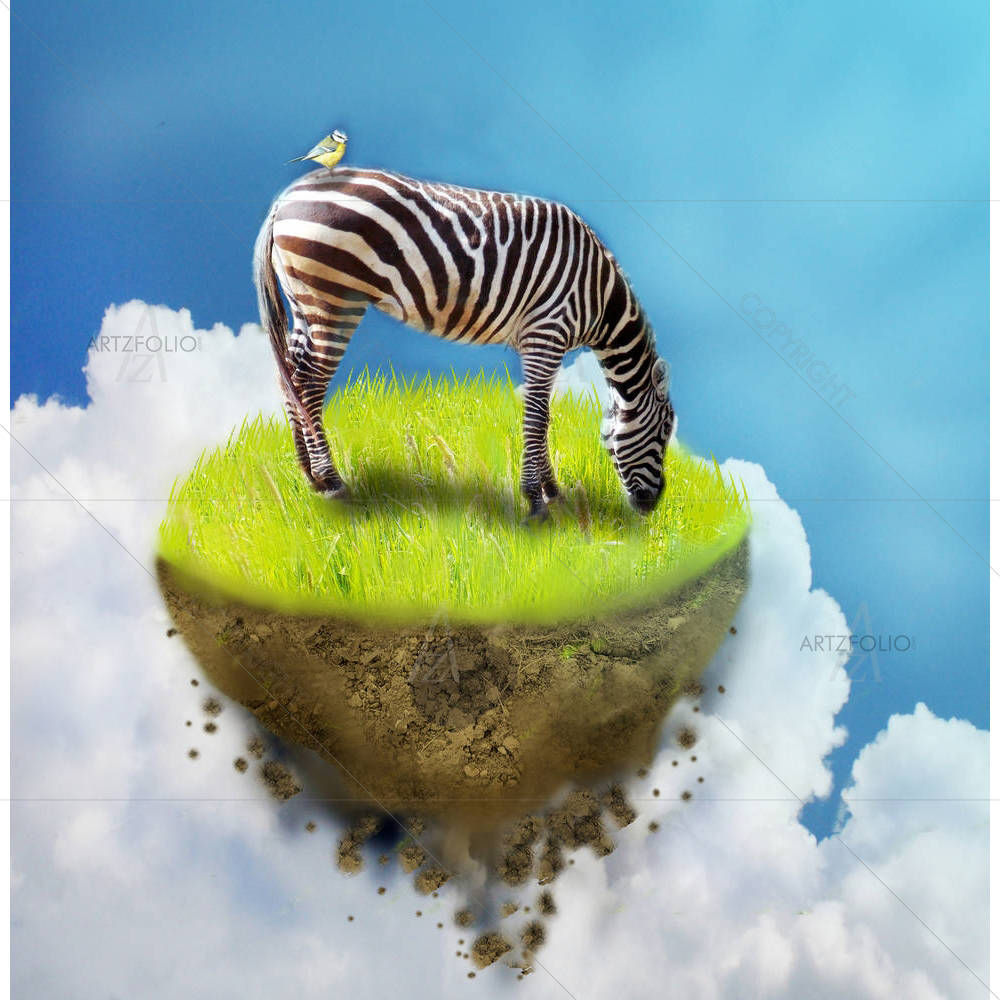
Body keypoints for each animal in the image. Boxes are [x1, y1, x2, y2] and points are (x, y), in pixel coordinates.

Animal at [253, 166, 676, 521]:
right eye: (664, 432)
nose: (653, 505)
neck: (600, 297)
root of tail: (285, 198)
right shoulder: (546, 332)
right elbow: (538, 417)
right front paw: (536, 501)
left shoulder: (538, 341)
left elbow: (543, 416)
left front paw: (553, 492)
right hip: (334, 299)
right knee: (309, 383)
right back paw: (333, 482)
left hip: (304, 303)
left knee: (290, 378)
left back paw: (309, 476)